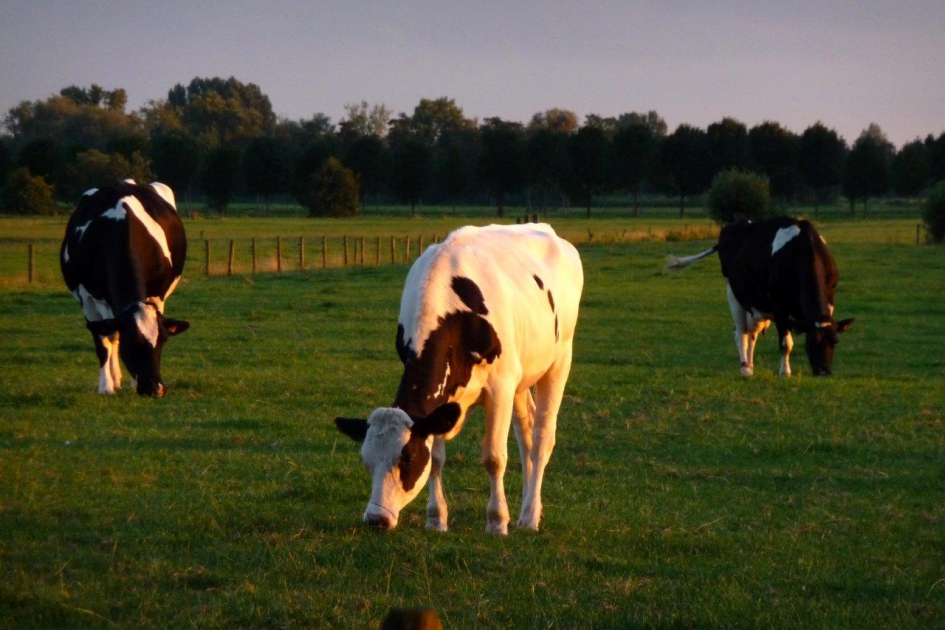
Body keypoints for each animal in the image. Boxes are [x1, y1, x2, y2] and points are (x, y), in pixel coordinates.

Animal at [60, 180, 189, 397]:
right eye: (132, 343)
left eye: (163, 341)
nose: (155, 389)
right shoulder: (89, 299)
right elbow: (106, 339)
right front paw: (106, 387)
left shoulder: (157, 295)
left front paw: (131, 382)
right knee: (111, 336)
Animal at [334, 223, 583, 535]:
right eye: (366, 461)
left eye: (408, 458)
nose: (376, 520)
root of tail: (548, 230)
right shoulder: (444, 402)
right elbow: (437, 459)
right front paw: (436, 518)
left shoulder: (500, 387)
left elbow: (493, 456)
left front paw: (497, 522)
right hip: (522, 375)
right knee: (526, 434)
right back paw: (532, 510)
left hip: (560, 360)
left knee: (541, 438)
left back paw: (528, 517)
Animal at [668, 216, 853, 377]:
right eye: (811, 342)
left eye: (835, 341)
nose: (824, 372)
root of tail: (734, 224)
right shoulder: (780, 307)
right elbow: (786, 343)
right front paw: (785, 372)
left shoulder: (829, 299)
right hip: (734, 293)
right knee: (740, 332)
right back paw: (745, 369)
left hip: (756, 306)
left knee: (752, 335)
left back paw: (750, 365)